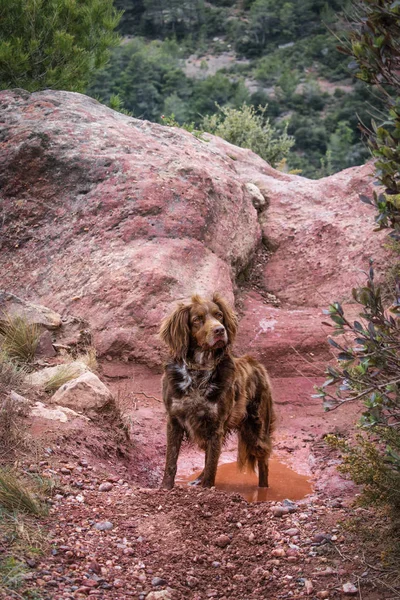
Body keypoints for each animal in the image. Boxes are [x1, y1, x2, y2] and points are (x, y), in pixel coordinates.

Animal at [159, 292, 276, 490]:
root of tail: (257, 364)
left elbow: (212, 464)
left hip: (257, 429)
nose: (220, 330)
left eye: (219, 315)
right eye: (197, 319)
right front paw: (165, 488)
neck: (198, 370)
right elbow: (171, 462)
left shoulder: (215, 426)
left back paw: (264, 490)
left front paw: (207, 489)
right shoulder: (174, 421)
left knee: (264, 463)